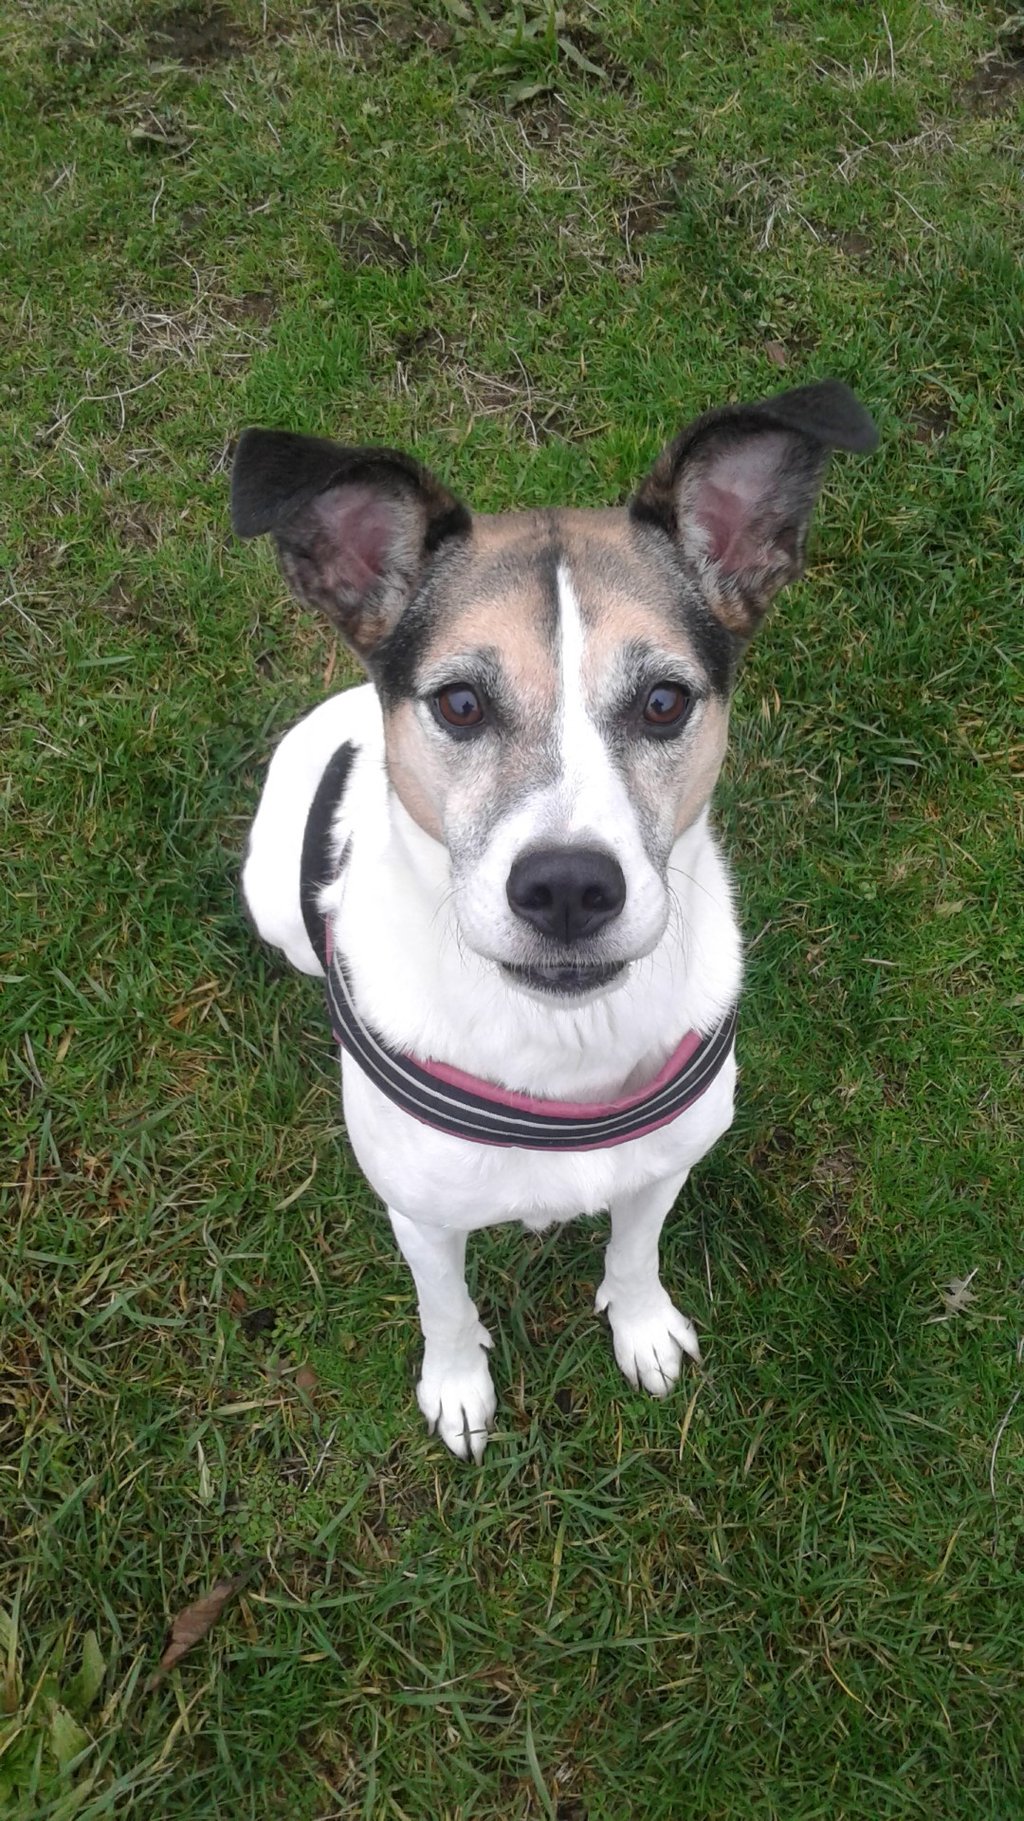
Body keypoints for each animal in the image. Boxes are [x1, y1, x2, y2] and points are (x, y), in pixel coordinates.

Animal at [233, 380, 877, 1461]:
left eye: (663, 701)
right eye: (459, 702)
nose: (569, 889)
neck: (563, 1041)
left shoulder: (664, 1167)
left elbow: (635, 1250)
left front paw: (643, 1327)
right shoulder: (423, 1219)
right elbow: (446, 1307)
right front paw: (457, 1388)